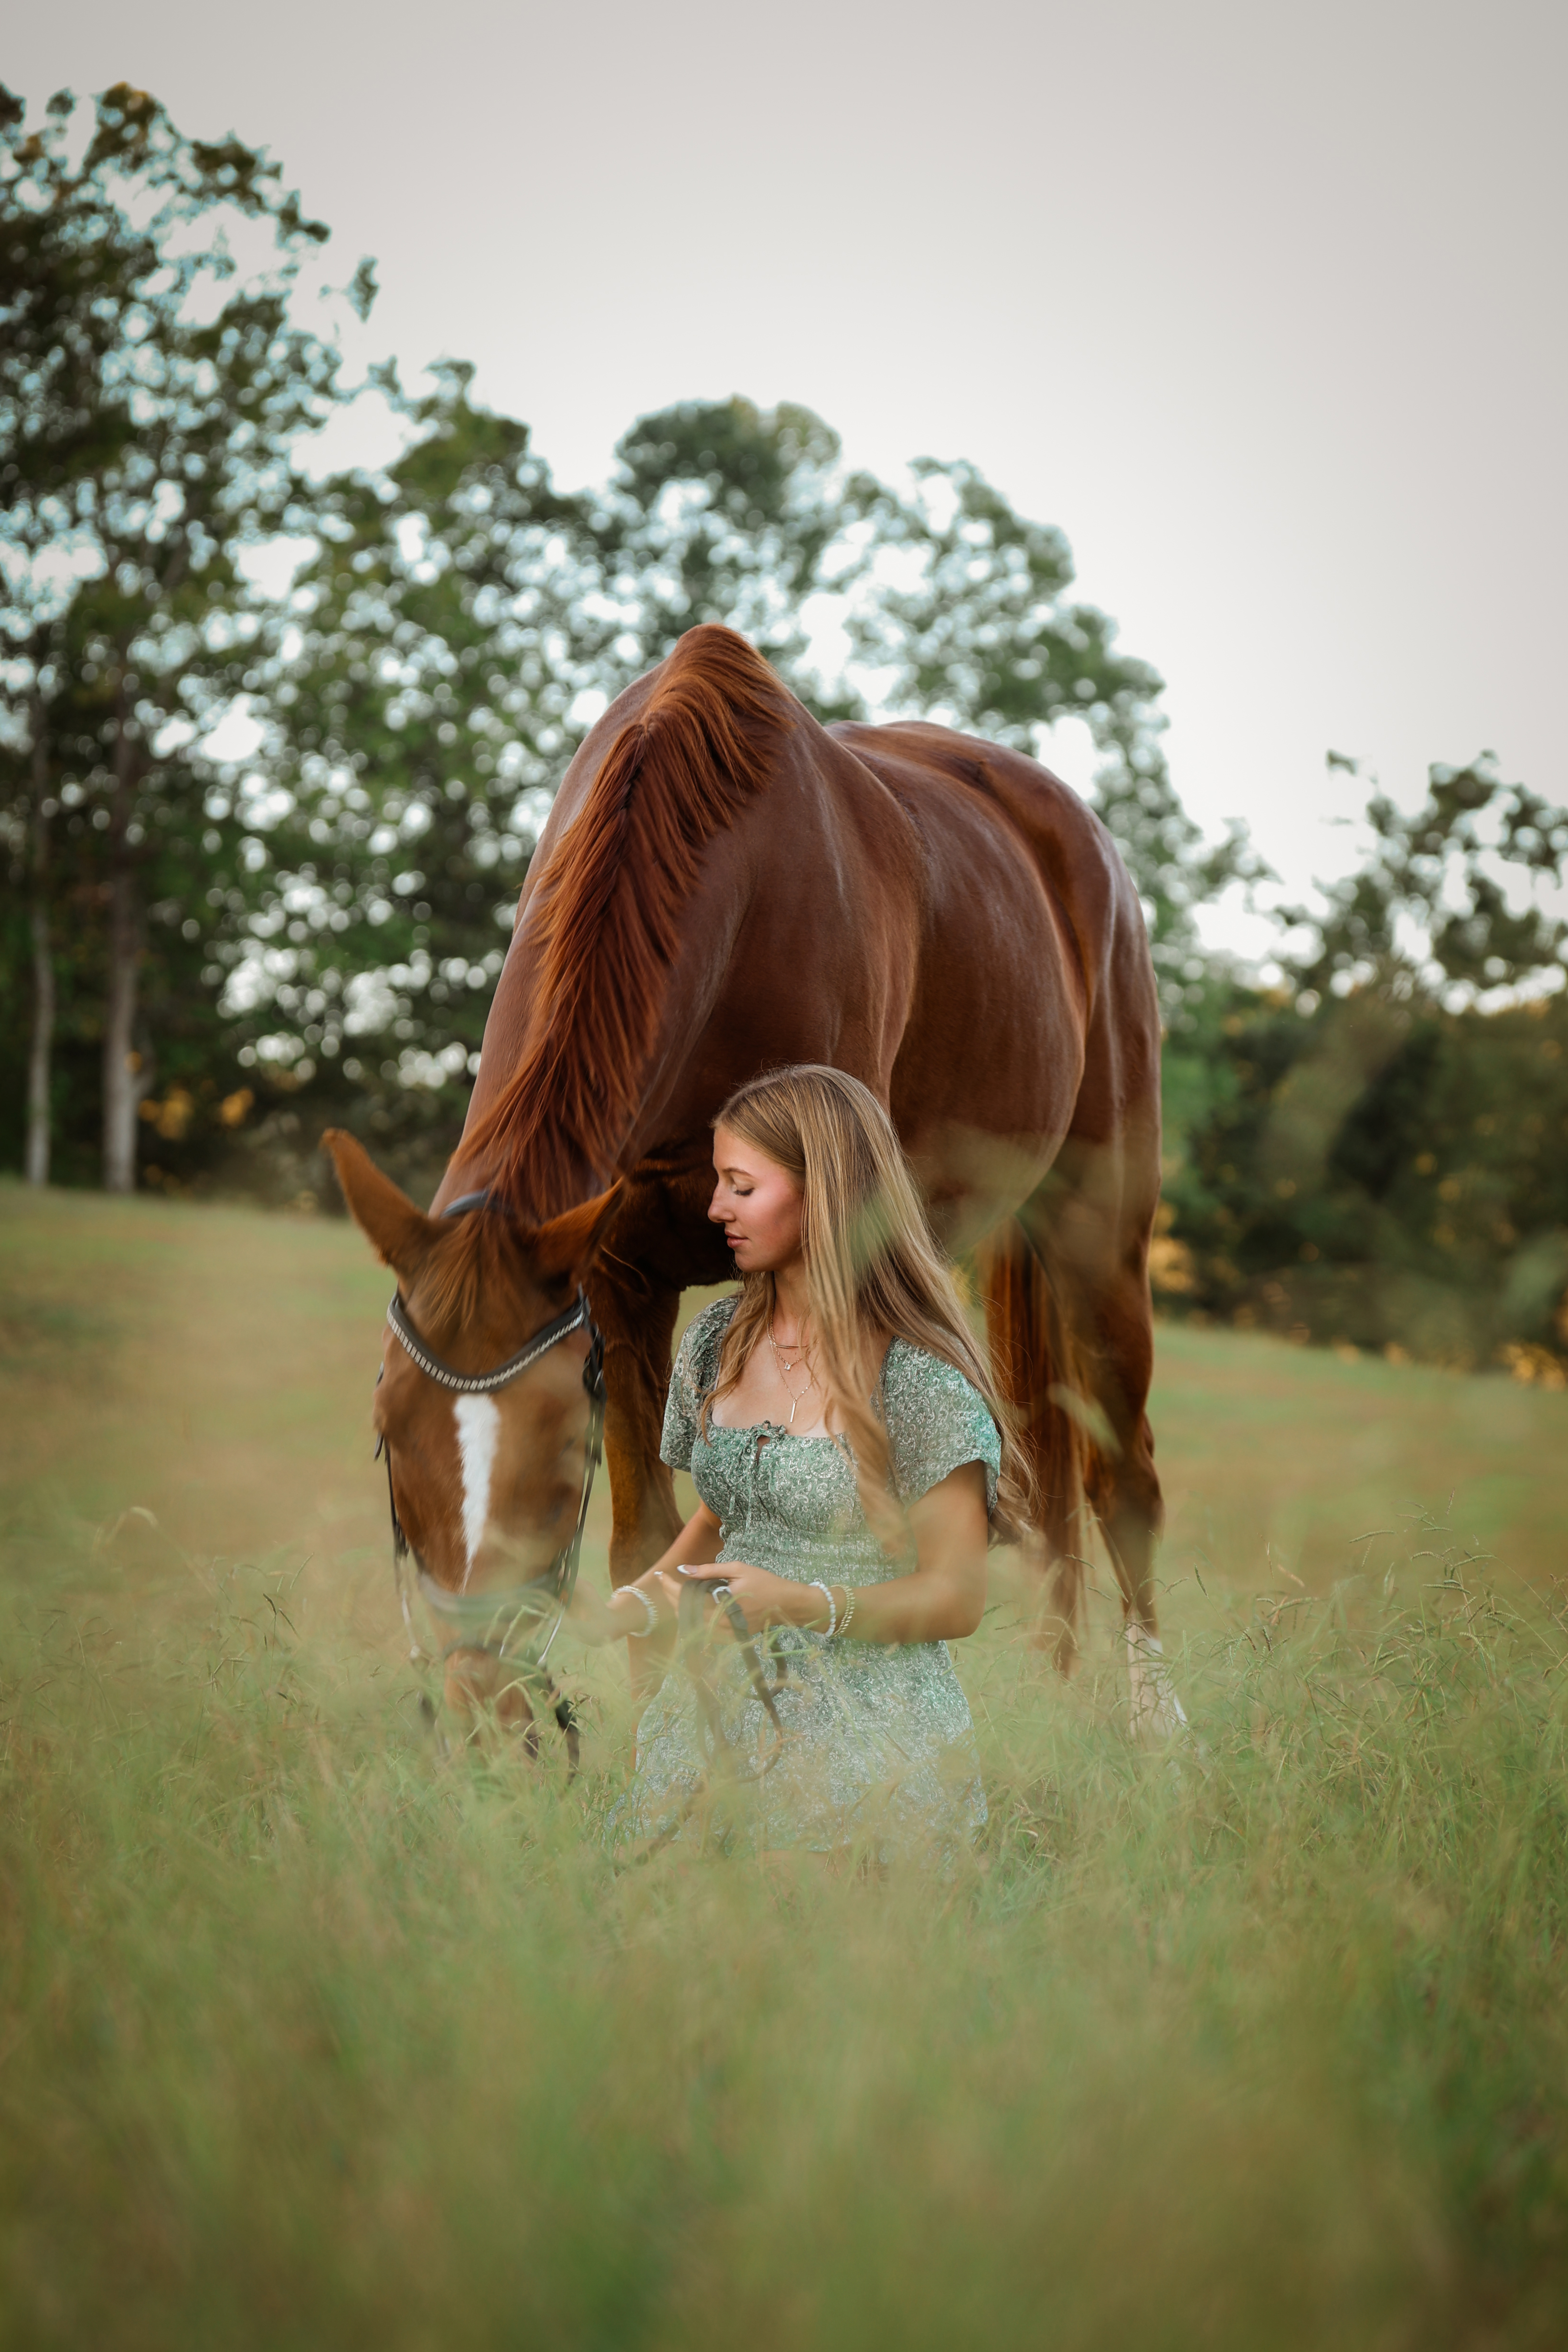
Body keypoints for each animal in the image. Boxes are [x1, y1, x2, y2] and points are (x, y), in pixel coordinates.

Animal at [326, 622, 1174, 1739]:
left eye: (560, 1455)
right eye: (386, 1436)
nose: (480, 1706)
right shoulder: (621, 1282)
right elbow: (648, 1547)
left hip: (1099, 1229)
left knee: (1125, 1478)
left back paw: (1159, 1728)